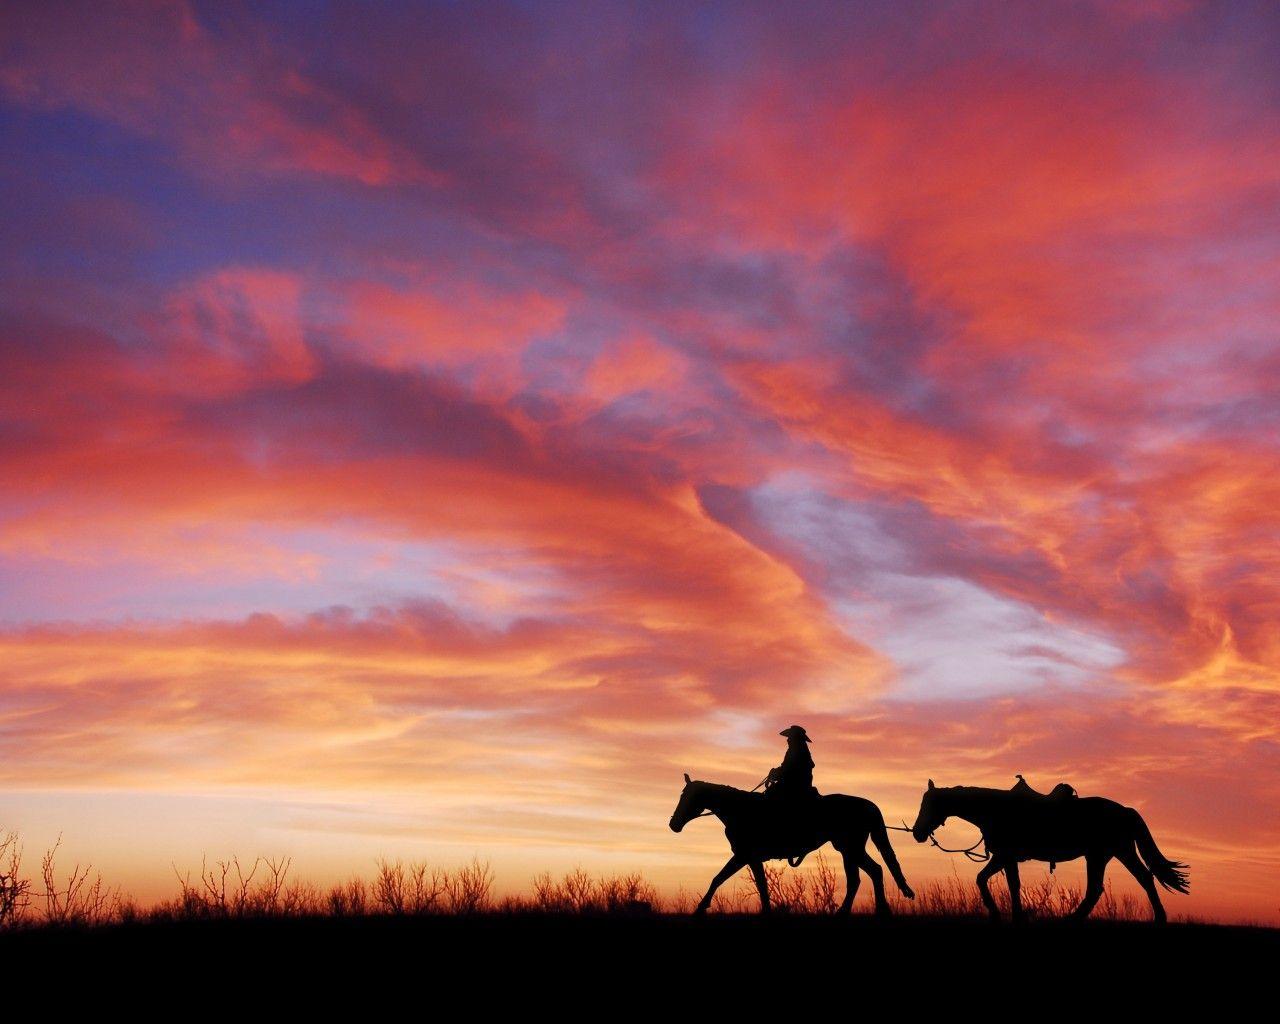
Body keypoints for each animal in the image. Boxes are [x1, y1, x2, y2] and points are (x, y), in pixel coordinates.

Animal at [665, 778, 916, 916]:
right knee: (874, 872)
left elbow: (719, 879)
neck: (739, 810)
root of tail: (869, 805)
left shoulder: (744, 856)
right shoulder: (750, 858)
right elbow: (760, 885)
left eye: (687, 796)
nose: (673, 824)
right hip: (850, 849)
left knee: (861, 877)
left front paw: (700, 908)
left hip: (849, 848)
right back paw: (879, 911)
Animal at [911, 778, 1187, 921]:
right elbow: (989, 880)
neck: (996, 810)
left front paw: (1008, 915)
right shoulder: (1004, 858)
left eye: (929, 804)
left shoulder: (1005, 856)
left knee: (1107, 887)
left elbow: (1006, 884)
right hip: (1112, 853)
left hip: (1104, 854)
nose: (917, 833)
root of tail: (1125, 810)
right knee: (1136, 880)